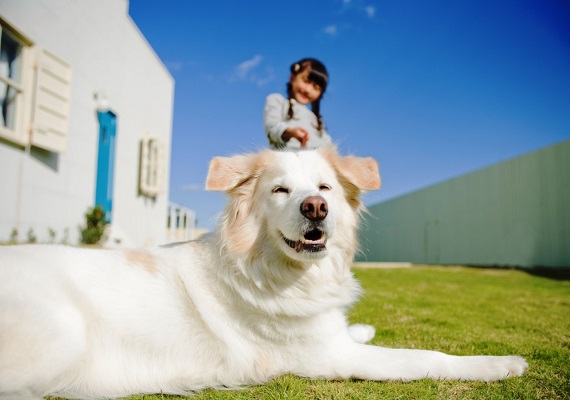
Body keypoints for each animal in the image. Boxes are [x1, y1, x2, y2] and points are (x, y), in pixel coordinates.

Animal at [0, 148, 524, 398]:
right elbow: (426, 356)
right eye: (280, 190)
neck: (278, 270)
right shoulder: (327, 357)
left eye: (324, 188)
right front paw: (499, 364)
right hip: (64, 335)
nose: (316, 208)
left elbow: (351, 328)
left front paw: (363, 325)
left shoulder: (327, 335)